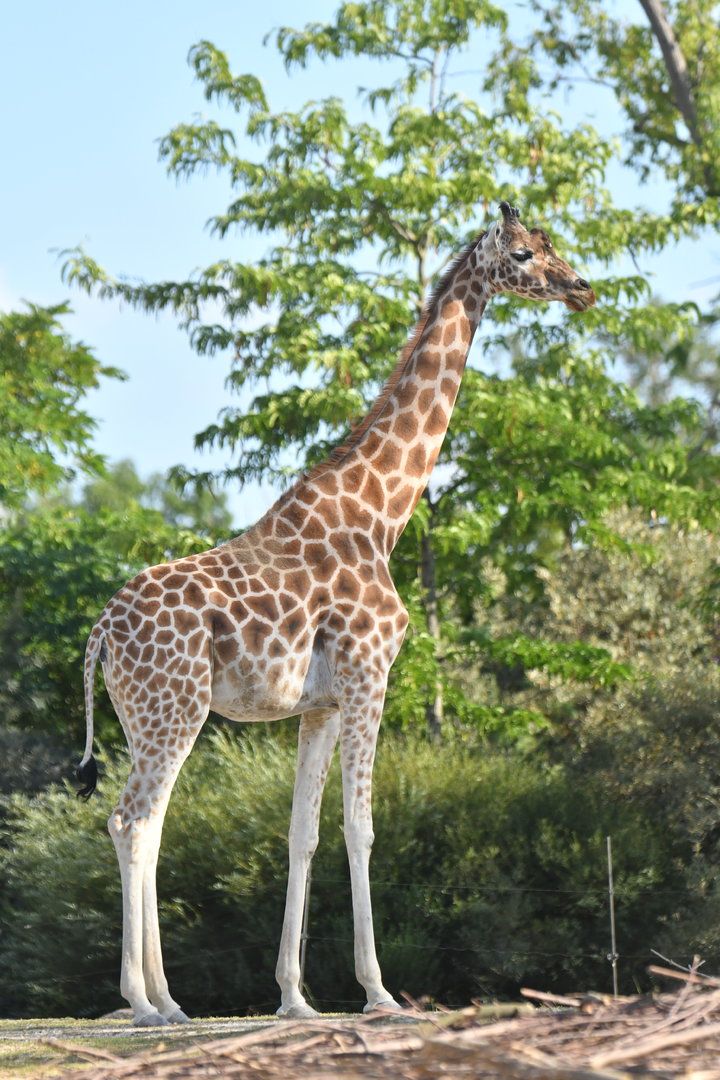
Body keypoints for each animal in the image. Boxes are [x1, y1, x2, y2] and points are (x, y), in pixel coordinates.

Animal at [77, 201, 595, 1026]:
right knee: (131, 821)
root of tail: (100, 634)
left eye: (551, 244)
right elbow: (362, 826)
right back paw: (143, 1004)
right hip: (173, 711)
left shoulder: (317, 703)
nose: (582, 288)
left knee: (149, 826)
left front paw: (295, 998)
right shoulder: (367, 671)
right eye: (522, 253)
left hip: (146, 717)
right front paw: (380, 992)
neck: (381, 512)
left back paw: (171, 1001)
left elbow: (303, 834)